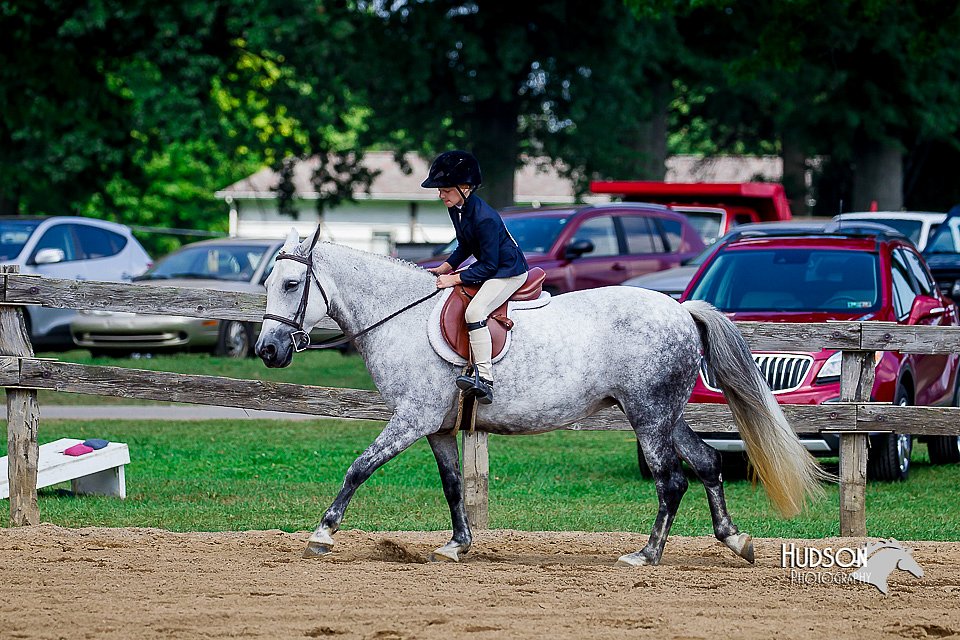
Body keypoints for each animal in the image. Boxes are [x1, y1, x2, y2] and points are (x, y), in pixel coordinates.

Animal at [258, 231, 828, 564]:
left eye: (290, 283)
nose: (268, 350)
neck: (399, 315)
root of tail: (681, 309)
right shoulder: (437, 426)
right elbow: (452, 486)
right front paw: (457, 545)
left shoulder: (412, 418)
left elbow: (359, 467)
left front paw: (322, 534)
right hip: (662, 414)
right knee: (707, 462)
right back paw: (735, 540)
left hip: (648, 416)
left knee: (671, 480)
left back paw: (646, 556)